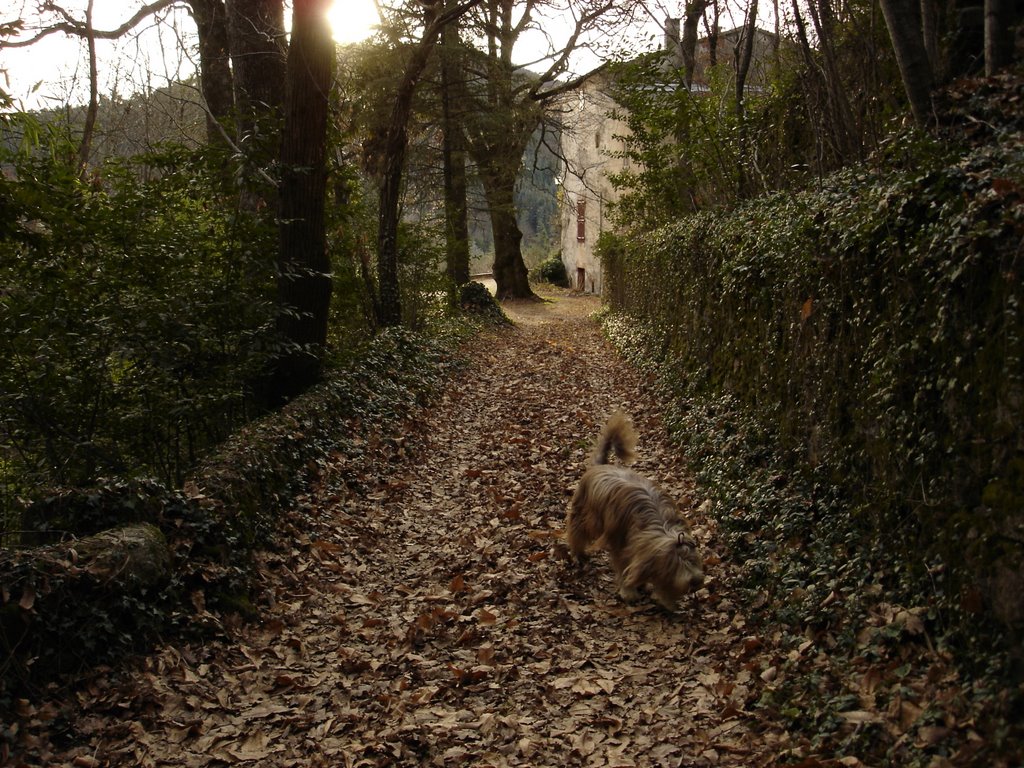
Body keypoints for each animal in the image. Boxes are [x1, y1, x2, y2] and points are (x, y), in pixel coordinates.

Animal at [569, 411, 704, 610]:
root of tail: (600, 466)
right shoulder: (620, 542)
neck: (659, 524)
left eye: (693, 560)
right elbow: (624, 565)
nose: (695, 581)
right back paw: (578, 553)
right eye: (674, 565)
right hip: (585, 514)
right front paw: (629, 590)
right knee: (577, 531)